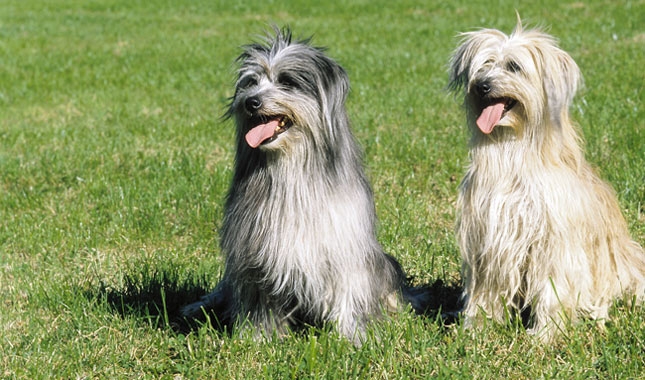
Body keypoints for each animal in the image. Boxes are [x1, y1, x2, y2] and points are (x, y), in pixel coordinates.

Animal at [180, 27, 428, 344]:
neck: (291, 168)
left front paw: (353, 337)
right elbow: (258, 303)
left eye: (287, 82)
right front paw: (259, 339)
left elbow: (349, 294)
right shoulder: (256, 255)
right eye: (251, 82)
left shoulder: (344, 246)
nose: (250, 102)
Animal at [448, 20, 644, 338]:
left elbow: (553, 289)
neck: (514, 149)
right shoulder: (489, 235)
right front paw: (477, 327)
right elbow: (486, 289)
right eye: (483, 65)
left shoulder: (554, 241)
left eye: (514, 66)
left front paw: (546, 334)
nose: (481, 85)